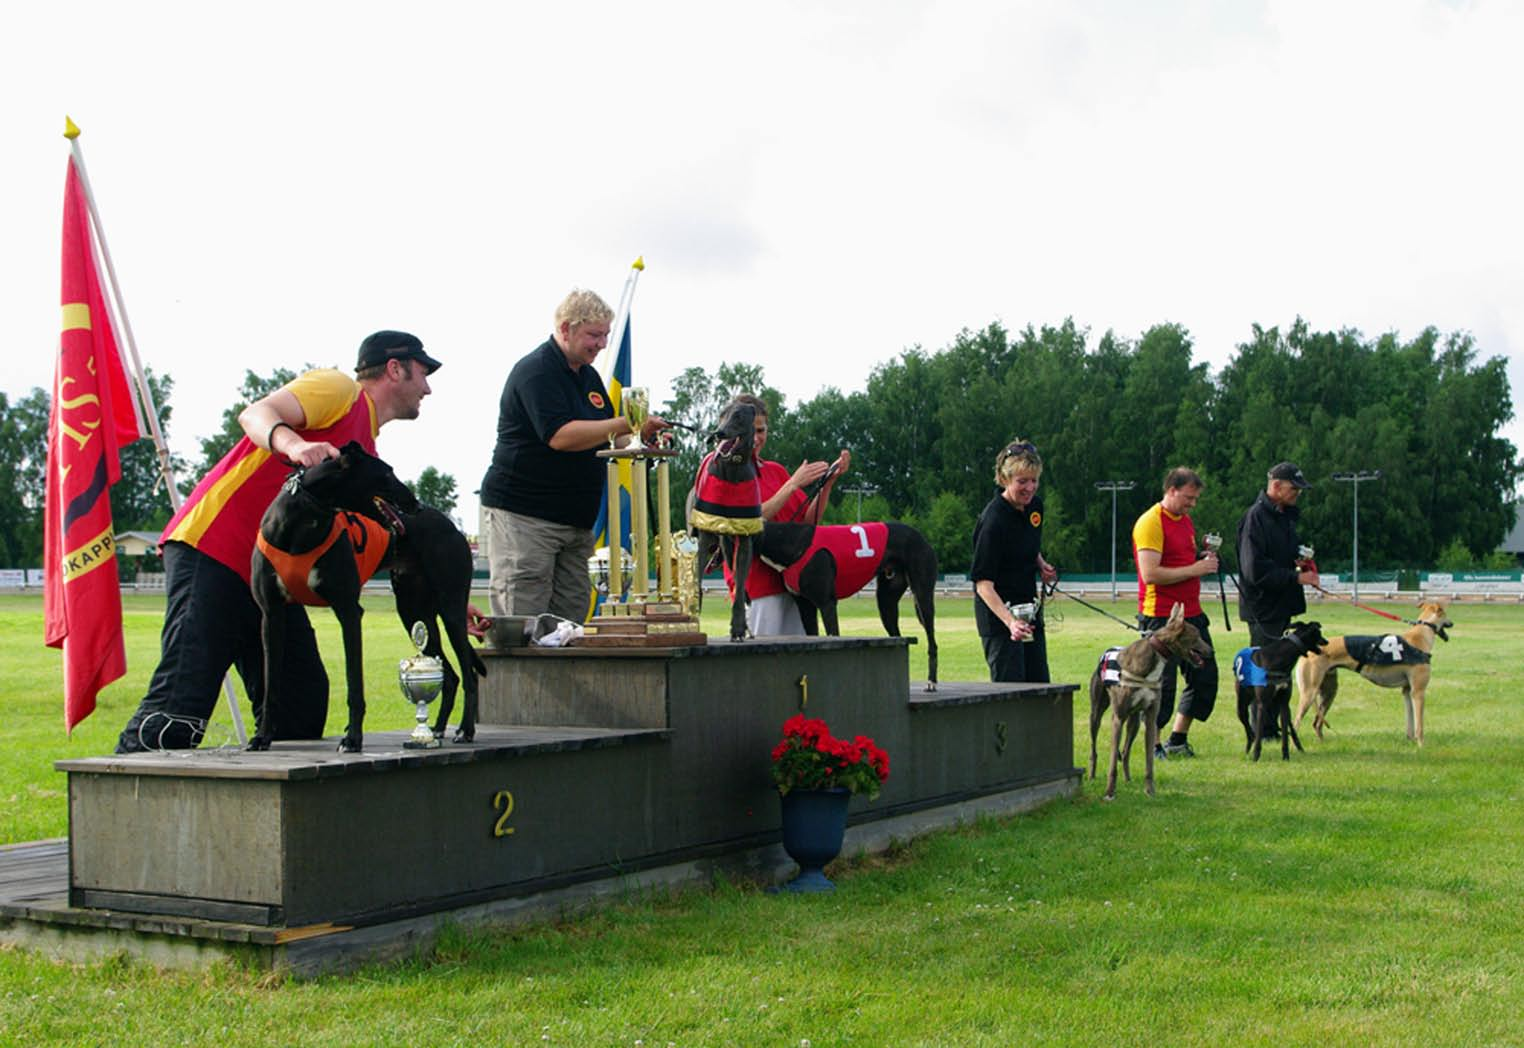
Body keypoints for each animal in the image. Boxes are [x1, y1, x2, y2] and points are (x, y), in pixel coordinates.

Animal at [251, 441, 481, 752]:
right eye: (387, 473)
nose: (417, 506)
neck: (301, 523)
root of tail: (452, 528)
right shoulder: (271, 614)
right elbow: (271, 685)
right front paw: (262, 737)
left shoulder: (348, 611)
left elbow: (354, 683)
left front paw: (352, 739)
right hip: (414, 612)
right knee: (452, 676)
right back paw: (437, 729)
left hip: (450, 608)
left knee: (469, 675)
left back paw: (465, 730)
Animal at [752, 520, 938, 691]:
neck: (793, 540)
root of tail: (920, 535)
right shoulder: (806, 608)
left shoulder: (827, 604)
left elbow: (833, 636)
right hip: (886, 602)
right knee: (897, 637)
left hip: (922, 598)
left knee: (932, 641)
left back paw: (932, 682)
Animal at [1091, 603, 1207, 798]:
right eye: (1196, 636)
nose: (1211, 651)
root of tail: (1106, 652)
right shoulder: (1118, 718)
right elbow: (1112, 762)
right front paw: (1109, 793)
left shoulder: (1151, 718)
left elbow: (1149, 763)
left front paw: (1150, 791)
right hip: (1097, 714)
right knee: (1095, 748)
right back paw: (1092, 775)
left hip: (1135, 722)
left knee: (1126, 751)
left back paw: (1128, 779)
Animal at [1231, 621, 1328, 761]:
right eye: (1319, 633)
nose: (1327, 641)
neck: (1280, 658)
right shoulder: (1262, 704)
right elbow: (1259, 733)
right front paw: (1256, 756)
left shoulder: (1283, 703)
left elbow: (1285, 735)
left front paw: (1286, 756)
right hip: (1241, 705)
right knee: (1249, 730)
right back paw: (1249, 748)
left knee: (1290, 728)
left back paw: (1299, 747)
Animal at [1292, 597, 1456, 746]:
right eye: (1446, 614)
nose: (1452, 623)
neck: (1421, 634)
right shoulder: (1418, 691)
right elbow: (1419, 724)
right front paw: (1421, 745)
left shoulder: (1407, 691)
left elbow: (1410, 720)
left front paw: (1411, 741)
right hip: (1309, 692)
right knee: (1296, 722)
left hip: (1329, 691)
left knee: (1317, 723)